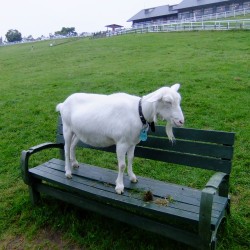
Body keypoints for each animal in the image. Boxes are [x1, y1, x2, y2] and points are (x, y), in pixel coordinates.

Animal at [55, 84, 184, 193]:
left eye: (178, 101)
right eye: (168, 101)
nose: (181, 121)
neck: (139, 112)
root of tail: (63, 104)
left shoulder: (132, 143)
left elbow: (131, 159)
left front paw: (132, 177)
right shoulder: (121, 143)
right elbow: (122, 165)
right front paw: (119, 186)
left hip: (78, 132)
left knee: (72, 146)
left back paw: (75, 164)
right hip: (67, 128)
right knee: (66, 149)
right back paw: (68, 172)